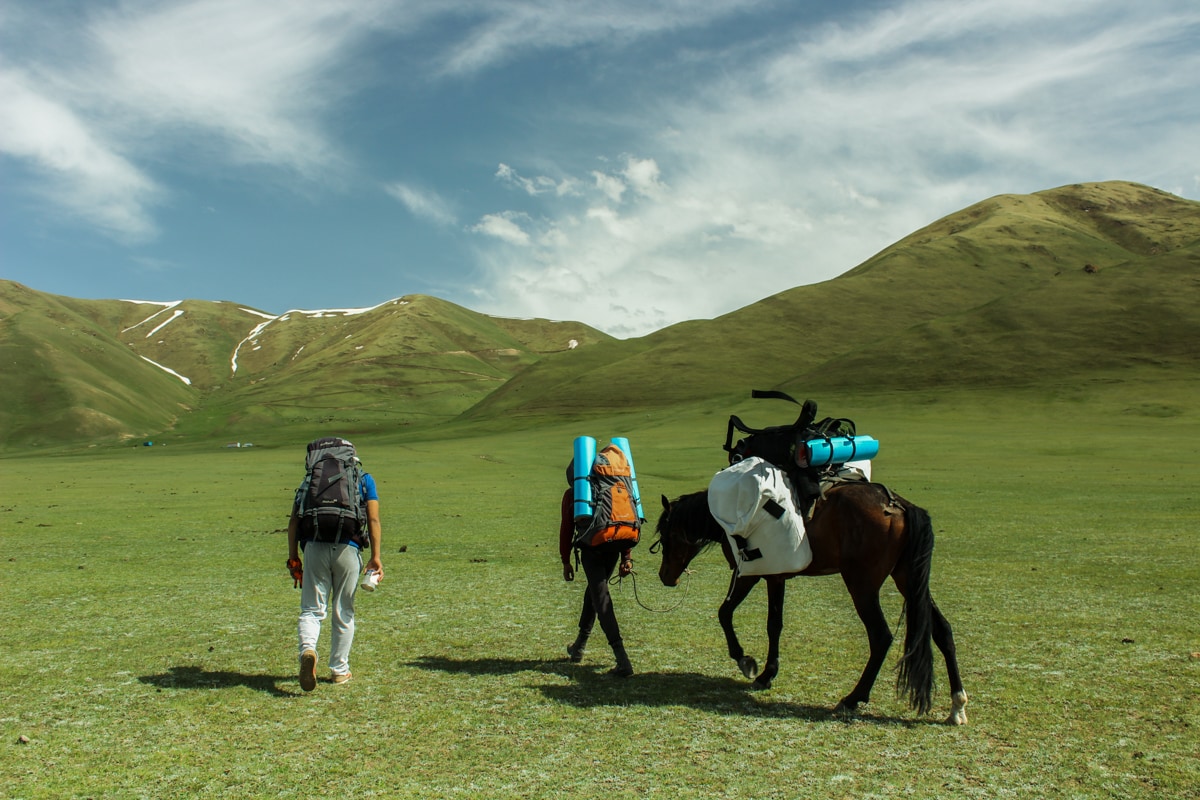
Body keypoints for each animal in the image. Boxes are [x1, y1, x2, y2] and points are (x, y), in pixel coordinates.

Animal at [652, 482, 969, 724]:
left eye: (667, 536)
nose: (665, 576)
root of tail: (898, 504)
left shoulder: (751, 574)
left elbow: (728, 614)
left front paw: (748, 663)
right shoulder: (775, 577)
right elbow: (774, 624)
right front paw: (767, 673)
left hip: (862, 584)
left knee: (881, 637)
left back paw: (852, 698)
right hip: (908, 578)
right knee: (942, 630)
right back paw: (957, 705)